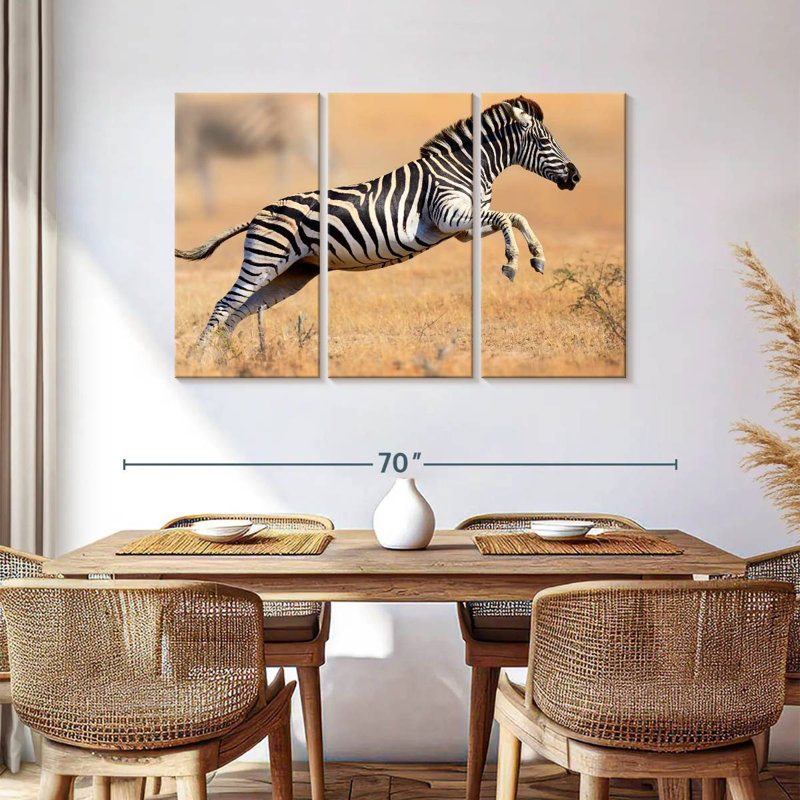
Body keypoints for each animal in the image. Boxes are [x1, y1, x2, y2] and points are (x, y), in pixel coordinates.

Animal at [175, 96, 580, 348]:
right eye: (545, 143)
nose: (575, 177)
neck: (466, 169)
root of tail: (256, 215)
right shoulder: (448, 213)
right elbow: (509, 217)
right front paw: (513, 262)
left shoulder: (465, 229)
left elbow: (514, 217)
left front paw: (537, 257)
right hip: (264, 259)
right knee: (225, 305)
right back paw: (202, 358)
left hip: (290, 273)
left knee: (239, 312)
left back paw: (228, 360)